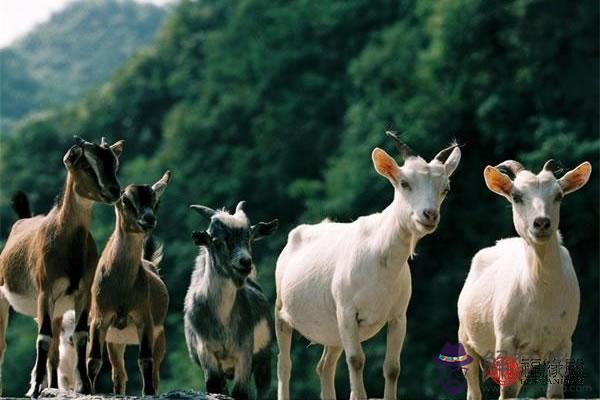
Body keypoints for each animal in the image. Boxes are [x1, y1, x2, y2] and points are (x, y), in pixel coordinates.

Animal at [0, 136, 123, 396]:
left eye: (114, 163)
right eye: (86, 165)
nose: (114, 191)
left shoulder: (82, 293)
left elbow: (80, 335)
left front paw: (84, 386)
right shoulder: (45, 292)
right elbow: (42, 338)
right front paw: (35, 388)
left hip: (57, 310)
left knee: (56, 351)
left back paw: (55, 387)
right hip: (4, 299)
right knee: (3, 345)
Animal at [86, 170, 172, 396]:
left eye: (156, 201)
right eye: (125, 199)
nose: (148, 219)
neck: (122, 289)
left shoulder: (145, 320)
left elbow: (145, 361)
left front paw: (148, 393)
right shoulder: (100, 319)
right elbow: (93, 361)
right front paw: (89, 391)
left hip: (160, 337)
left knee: (155, 371)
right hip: (116, 340)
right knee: (119, 373)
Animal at [184, 202, 278, 400]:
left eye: (249, 238)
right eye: (217, 241)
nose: (245, 262)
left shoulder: (245, 351)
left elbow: (240, 392)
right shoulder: (206, 350)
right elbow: (214, 385)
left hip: (264, 357)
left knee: (263, 387)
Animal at [274, 132, 462, 400]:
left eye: (445, 188)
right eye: (404, 183)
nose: (429, 215)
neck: (380, 260)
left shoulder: (398, 316)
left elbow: (392, 367)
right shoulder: (347, 311)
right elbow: (356, 360)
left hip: (333, 331)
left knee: (325, 366)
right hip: (282, 312)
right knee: (284, 364)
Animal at [460, 158, 592, 398]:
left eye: (558, 195)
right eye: (516, 196)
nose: (541, 223)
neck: (542, 298)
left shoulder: (563, 341)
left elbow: (555, 392)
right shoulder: (505, 338)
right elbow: (507, 392)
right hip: (465, 340)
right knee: (473, 387)